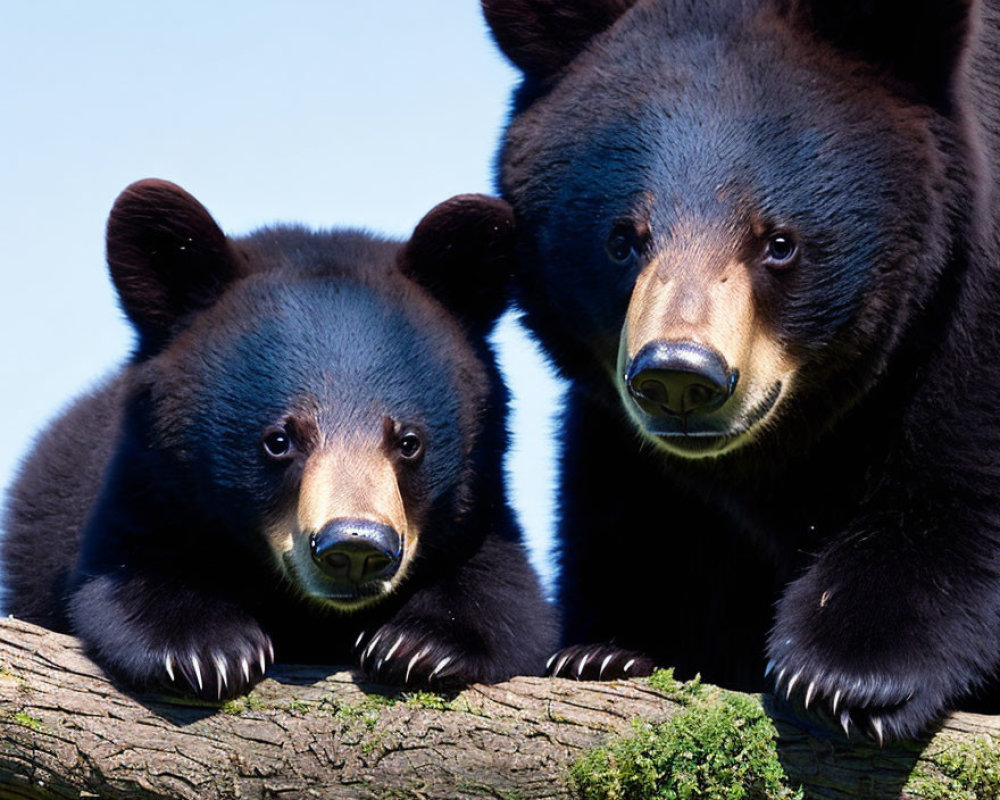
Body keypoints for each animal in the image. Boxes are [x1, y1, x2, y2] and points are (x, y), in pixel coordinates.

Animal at [0, 178, 556, 696]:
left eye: (409, 441)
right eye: (279, 440)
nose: (355, 547)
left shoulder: (481, 516)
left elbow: (508, 594)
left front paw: (421, 644)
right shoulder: (142, 490)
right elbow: (122, 574)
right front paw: (206, 648)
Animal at [482, 0, 1000, 744]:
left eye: (779, 243)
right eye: (623, 239)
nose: (679, 376)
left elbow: (958, 492)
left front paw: (850, 671)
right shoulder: (616, 432)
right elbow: (628, 517)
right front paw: (608, 648)